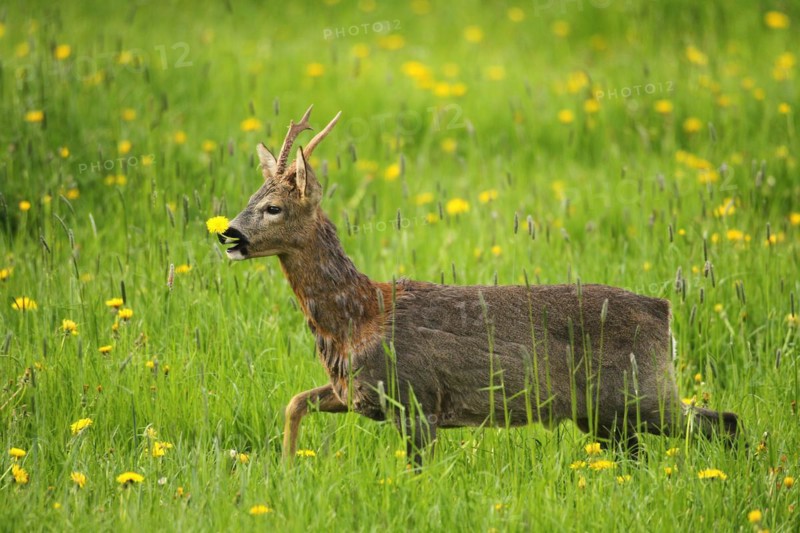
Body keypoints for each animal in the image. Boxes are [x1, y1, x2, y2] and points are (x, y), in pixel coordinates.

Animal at [218, 106, 739, 466]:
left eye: (273, 208)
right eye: (251, 197)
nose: (227, 234)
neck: (358, 318)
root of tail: (664, 311)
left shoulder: (417, 400)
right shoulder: (356, 394)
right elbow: (294, 403)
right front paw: (286, 471)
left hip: (642, 395)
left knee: (724, 422)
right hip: (605, 415)